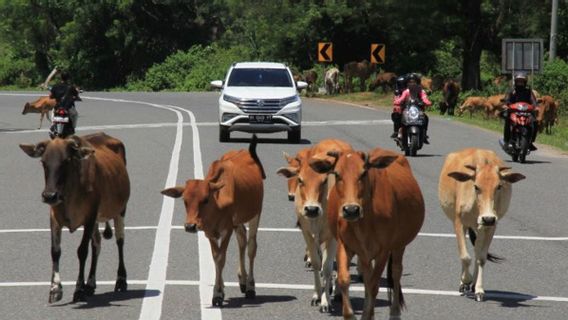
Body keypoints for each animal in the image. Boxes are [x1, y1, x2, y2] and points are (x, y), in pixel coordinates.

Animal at [19, 132, 130, 302]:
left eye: (66, 161)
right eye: (43, 162)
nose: (49, 195)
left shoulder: (90, 216)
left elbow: (82, 251)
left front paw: (78, 289)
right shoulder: (54, 218)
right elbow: (55, 251)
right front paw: (55, 289)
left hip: (120, 210)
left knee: (120, 241)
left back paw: (121, 280)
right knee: (97, 244)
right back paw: (90, 284)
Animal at [161, 135, 266, 308]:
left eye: (205, 199)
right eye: (184, 200)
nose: (190, 226)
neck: (217, 203)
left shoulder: (227, 229)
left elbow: (221, 258)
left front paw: (217, 294)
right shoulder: (210, 232)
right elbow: (215, 257)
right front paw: (220, 291)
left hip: (255, 214)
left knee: (251, 246)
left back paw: (250, 287)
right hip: (238, 222)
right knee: (242, 240)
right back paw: (242, 281)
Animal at [278, 138, 352, 312]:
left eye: (324, 181)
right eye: (300, 179)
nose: (311, 209)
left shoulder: (333, 237)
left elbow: (327, 267)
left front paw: (326, 301)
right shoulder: (307, 233)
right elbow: (318, 263)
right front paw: (317, 295)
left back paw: (337, 291)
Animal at [310, 148, 426, 320]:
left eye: (363, 173)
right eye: (337, 174)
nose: (351, 210)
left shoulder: (384, 251)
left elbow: (373, 285)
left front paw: (367, 314)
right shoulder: (344, 245)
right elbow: (345, 280)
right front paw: (350, 314)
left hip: (399, 245)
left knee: (396, 272)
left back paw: (394, 312)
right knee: (368, 275)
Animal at [440, 149, 528, 302]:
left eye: (499, 186)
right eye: (476, 186)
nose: (487, 218)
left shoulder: (490, 227)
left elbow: (481, 257)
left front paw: (479, 289)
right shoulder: (459, 222)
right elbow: (465, 256)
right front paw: (465, 280)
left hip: (480, 227)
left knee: (477, 251)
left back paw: (473, 284)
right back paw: (464, 283)